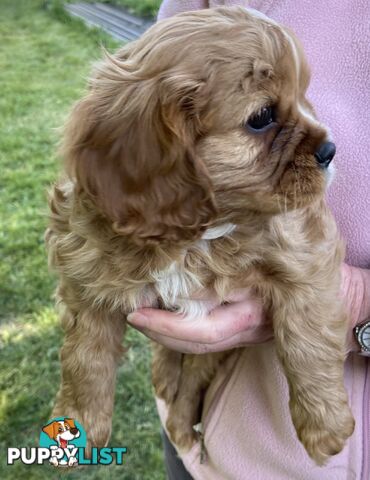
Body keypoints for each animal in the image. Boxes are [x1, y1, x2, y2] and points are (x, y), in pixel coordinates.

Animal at [47, 6, 356, 464]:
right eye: (261, 117)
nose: (330, 151)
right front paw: (78, 423)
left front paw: (326, 427)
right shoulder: (85, 267)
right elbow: (85, 354)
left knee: (193, 378)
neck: (195, 235)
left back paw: (180, 425)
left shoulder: (304, 250)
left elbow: (307, 336)